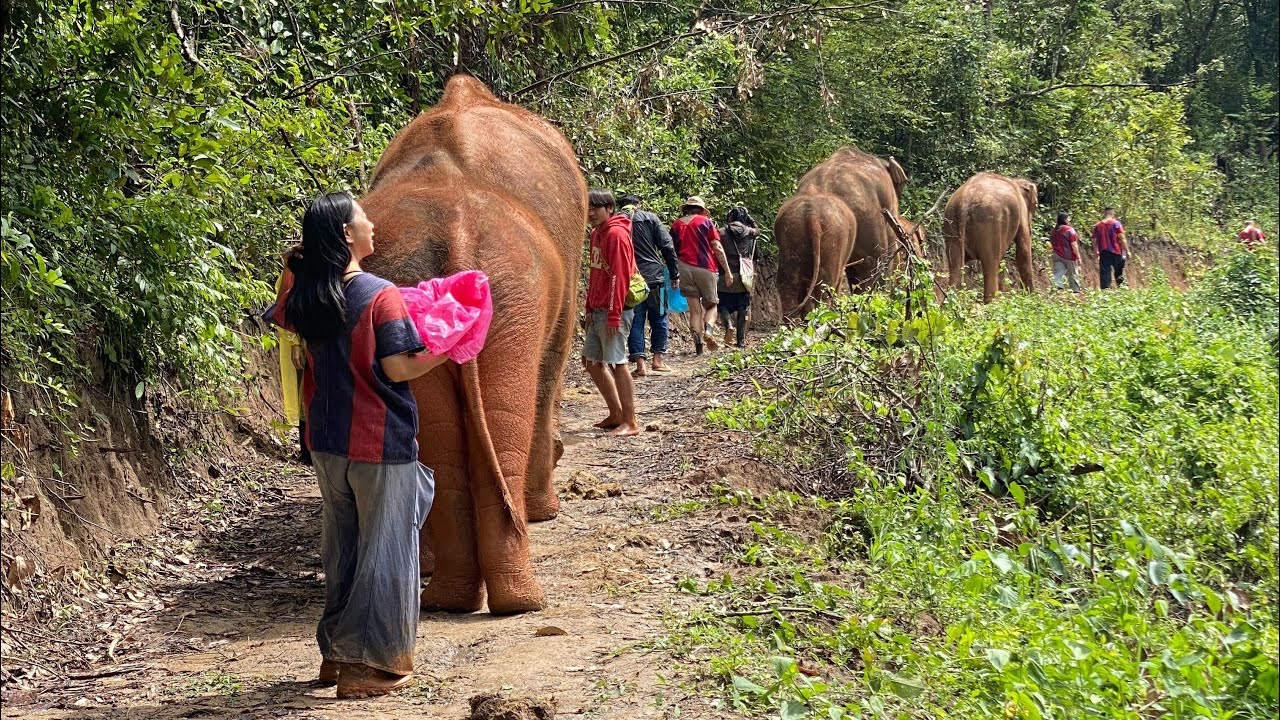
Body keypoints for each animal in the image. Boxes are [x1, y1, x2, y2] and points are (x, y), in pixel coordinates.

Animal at [359, 74, 585, 615]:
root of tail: (455, 229)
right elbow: (555, 364)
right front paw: (547, 512)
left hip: (436, 291)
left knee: (443, 429)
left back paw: (462, 599)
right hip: (515, 290)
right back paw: (514, 600)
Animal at [942, 172, 1037, 303]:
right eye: (1036, 205)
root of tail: (965, 200)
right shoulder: (1022, 211)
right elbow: (1023, 248)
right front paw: (1031, 298)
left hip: (951, 220)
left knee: (955, 267)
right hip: (989, 221)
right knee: (991, 264)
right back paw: (993, 303)